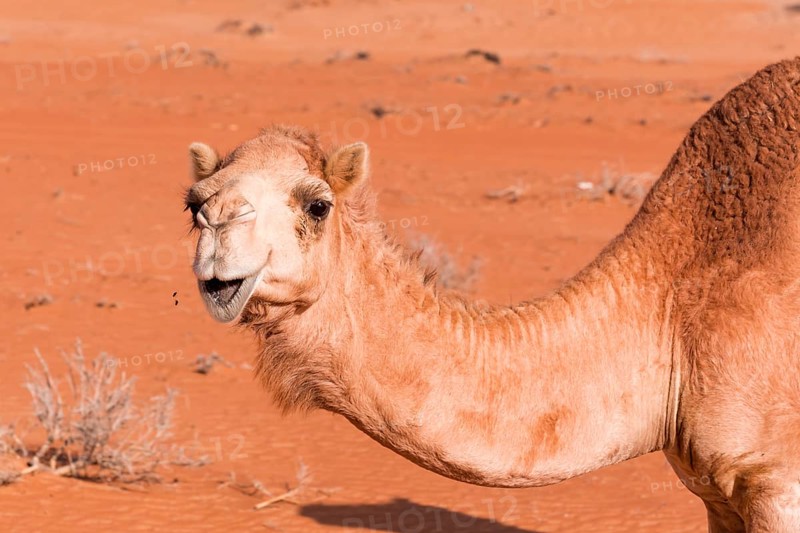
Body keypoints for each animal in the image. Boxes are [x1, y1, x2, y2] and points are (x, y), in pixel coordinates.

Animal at [182, 57, 800, 532]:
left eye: (317, 205)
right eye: (193, 205)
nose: (219, 230)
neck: (673, 306)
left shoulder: (776, 484)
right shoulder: (717, 496)